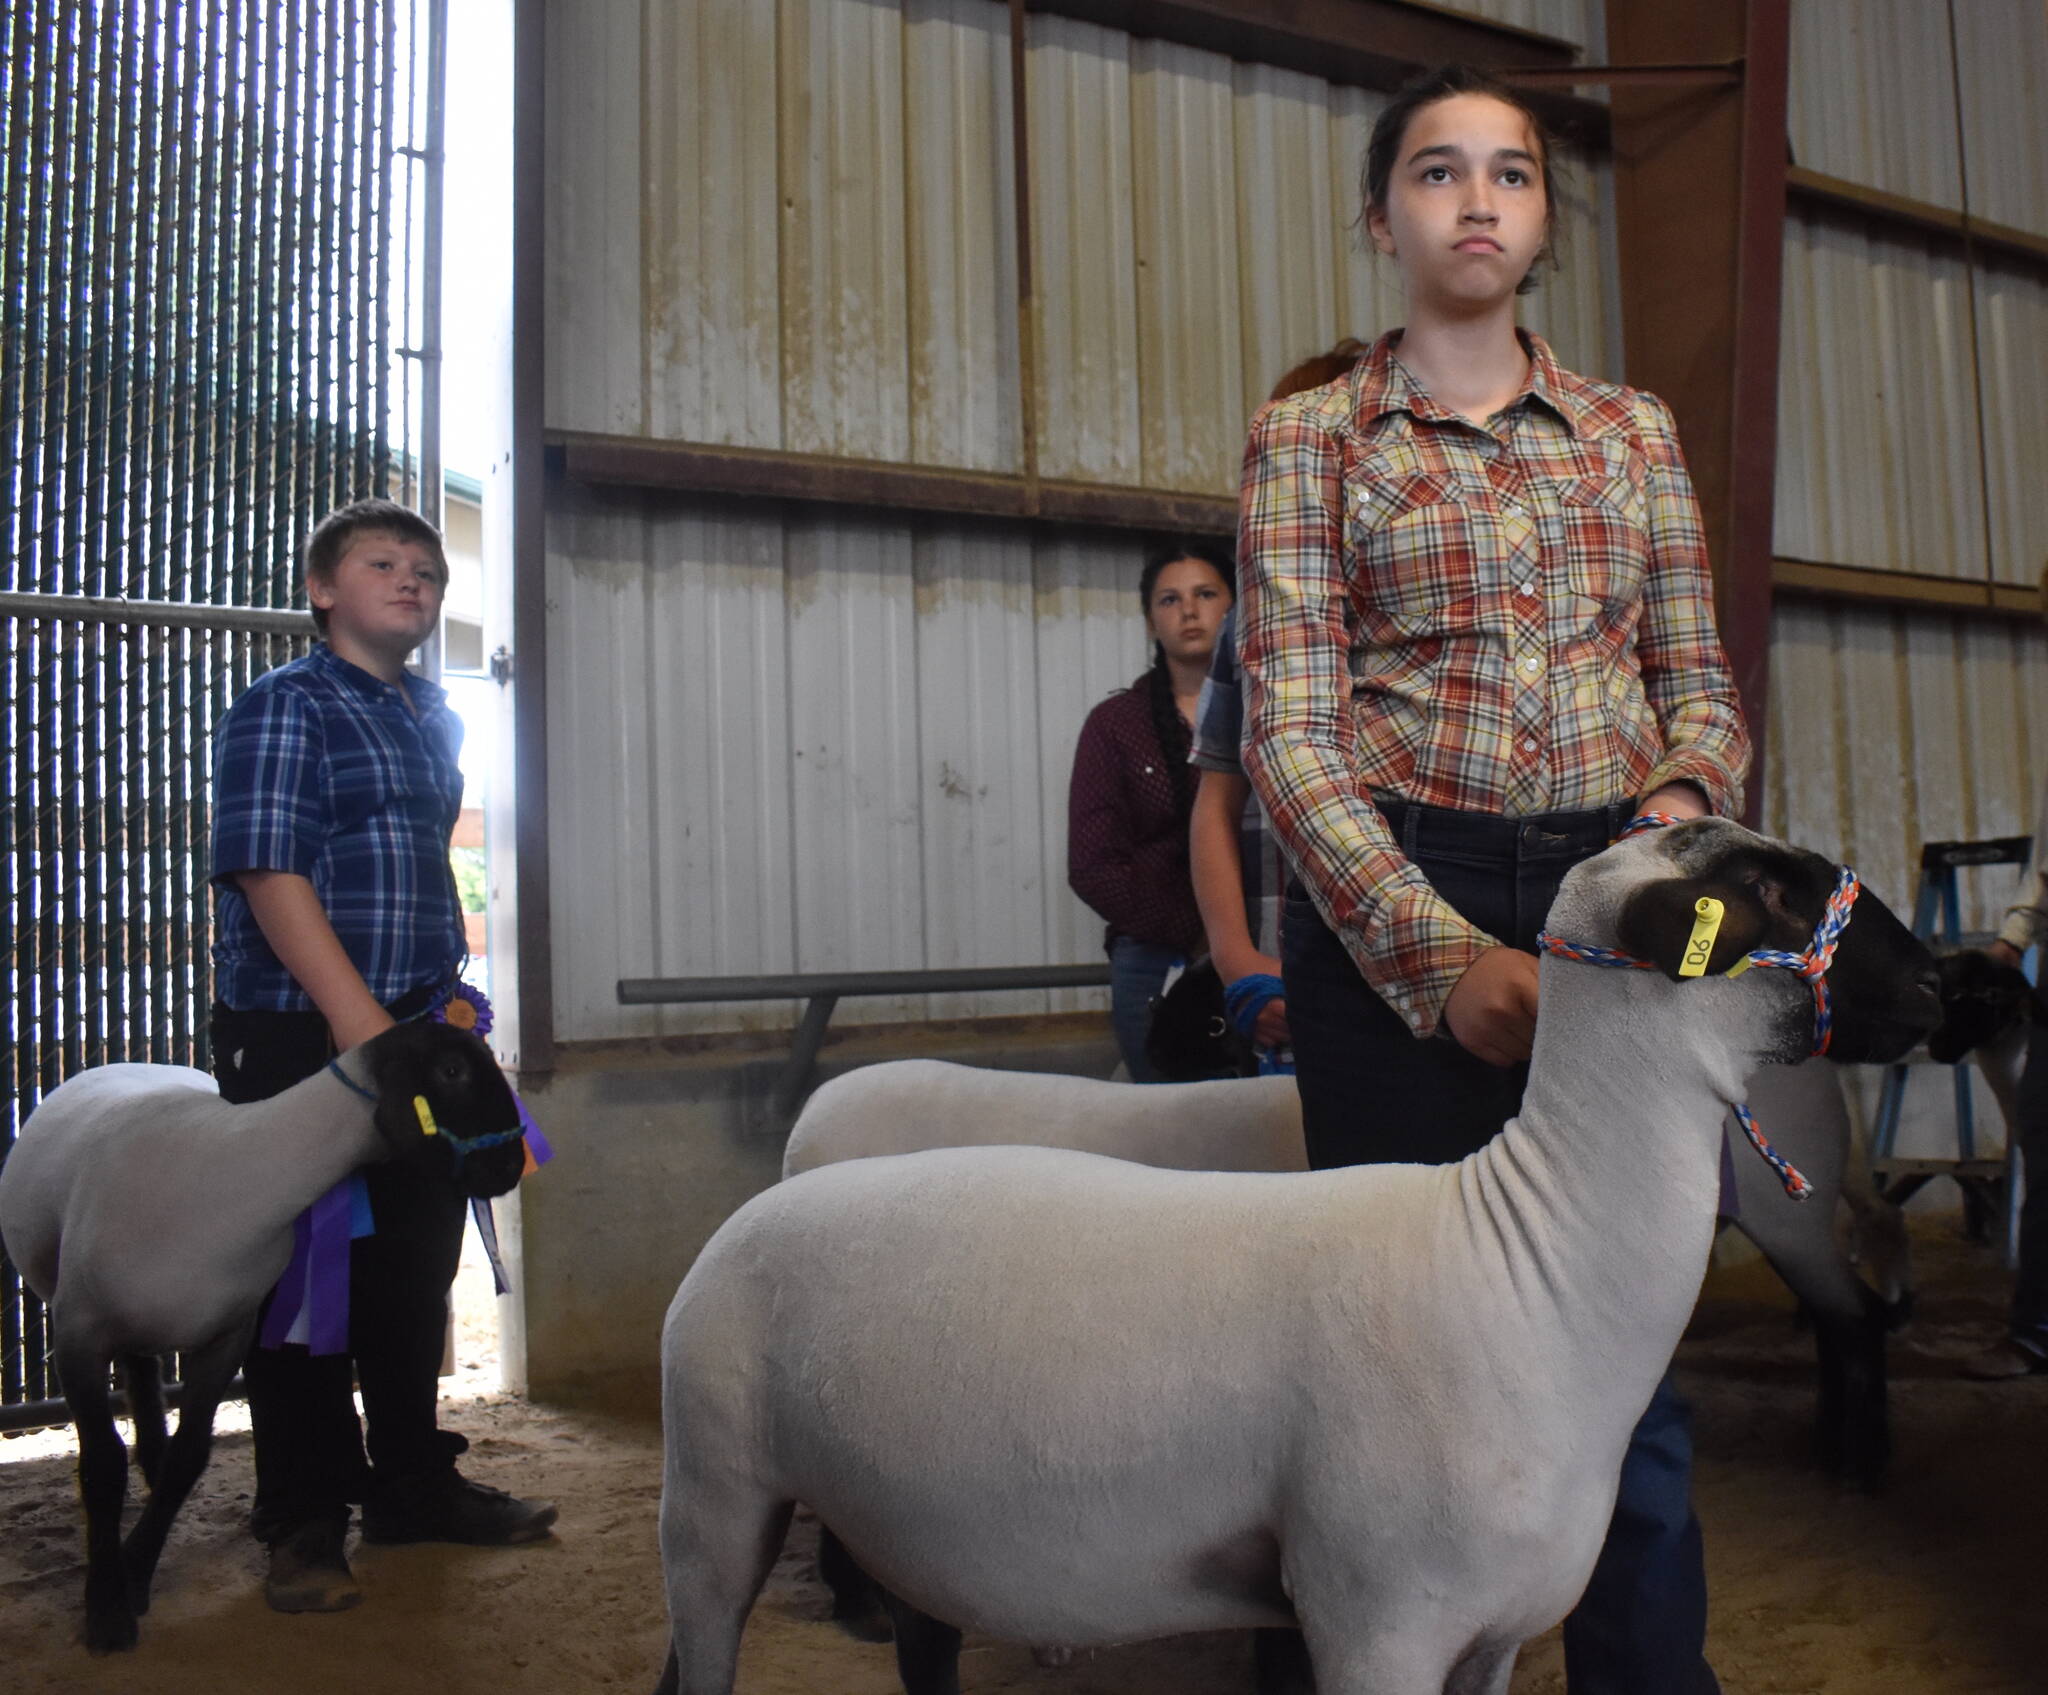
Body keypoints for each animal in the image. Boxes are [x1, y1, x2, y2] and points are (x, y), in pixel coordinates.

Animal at [651, 822, 1933, 1695]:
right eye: (1763, 889)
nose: (1938, 981)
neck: (1530, 1270)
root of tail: (759, 1202)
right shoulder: (1374, 1623)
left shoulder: (1494, 1631)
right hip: (714, 1500)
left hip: (908, 1528)